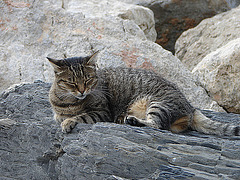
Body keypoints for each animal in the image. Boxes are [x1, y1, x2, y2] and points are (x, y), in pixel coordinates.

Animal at [46, 52, 238, 136]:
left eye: (87, 80)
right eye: (72, 82)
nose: (82, 90)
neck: (68, 101)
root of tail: (192, 107)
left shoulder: (102, 112)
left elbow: (80, 116)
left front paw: (68, 122)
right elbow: (58, 115)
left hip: (158, 104)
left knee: (158, 125)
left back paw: (133, 120)